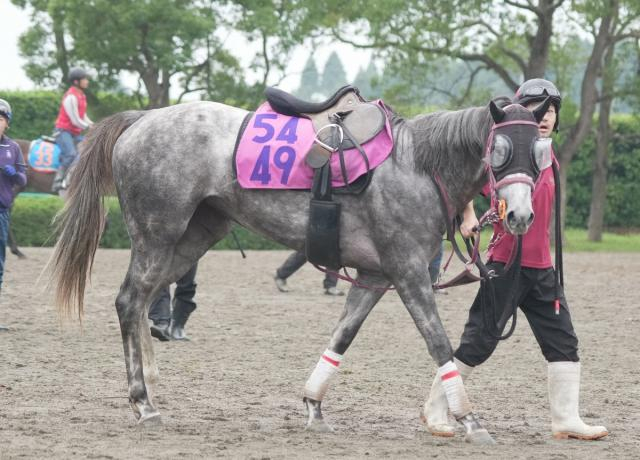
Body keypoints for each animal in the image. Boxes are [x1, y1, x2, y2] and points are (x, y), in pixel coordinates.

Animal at [49, 92, 551, 444]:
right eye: (500, 148)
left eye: (541, 150)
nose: (521, 216)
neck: (416, 166)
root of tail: (142, 119)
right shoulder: (409, 272)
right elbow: (439, 342)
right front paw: (469, 418)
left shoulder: (375, 277)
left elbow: (341, 338)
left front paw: (314, 407)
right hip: (157, 234)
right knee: (129, 299)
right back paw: (142, 401)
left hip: (193, 238)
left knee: (144, 300)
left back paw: (151, 387)